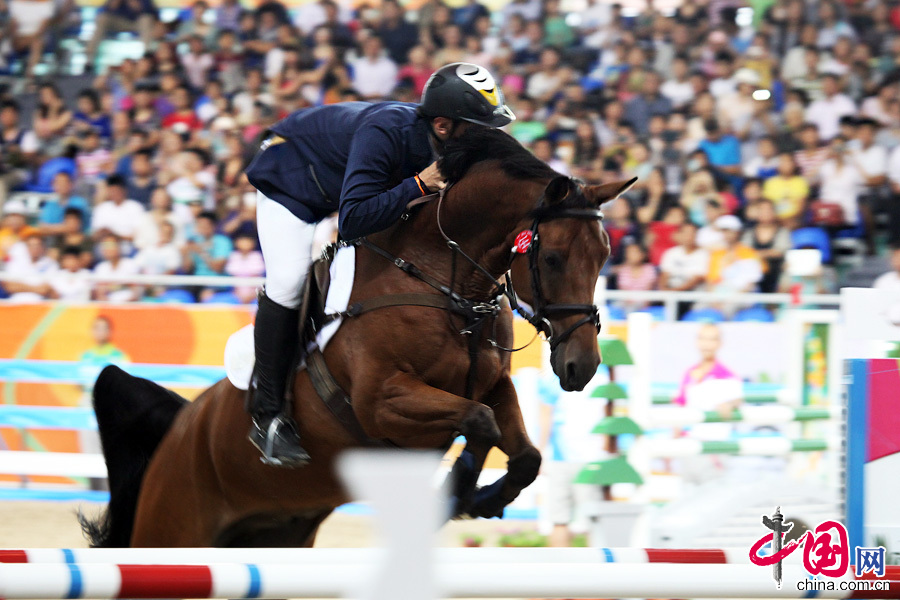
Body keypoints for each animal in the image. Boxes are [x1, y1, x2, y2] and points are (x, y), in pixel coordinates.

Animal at [81, 127, 636, 548]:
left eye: (606, 256)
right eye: (553, 259)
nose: (582, 366)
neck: (447, 285)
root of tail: (180, 427)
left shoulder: (494, 384)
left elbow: (524, 453)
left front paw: (480, 499)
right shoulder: (382, 401)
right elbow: (479, 423)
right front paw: (457, 493)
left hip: (277, 535)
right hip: (172, 530)